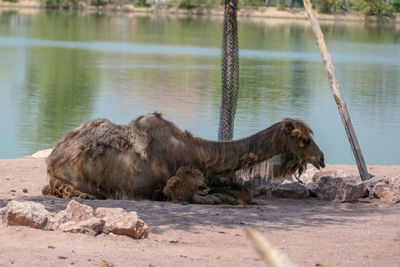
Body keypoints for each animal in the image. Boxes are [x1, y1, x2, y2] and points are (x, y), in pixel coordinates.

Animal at [43, 113, 324, 205]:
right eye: (303, 139)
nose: (321, 158)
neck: (201, 153)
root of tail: (53, 158)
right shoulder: (180, 184)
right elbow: (219, 196)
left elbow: (240, 191)